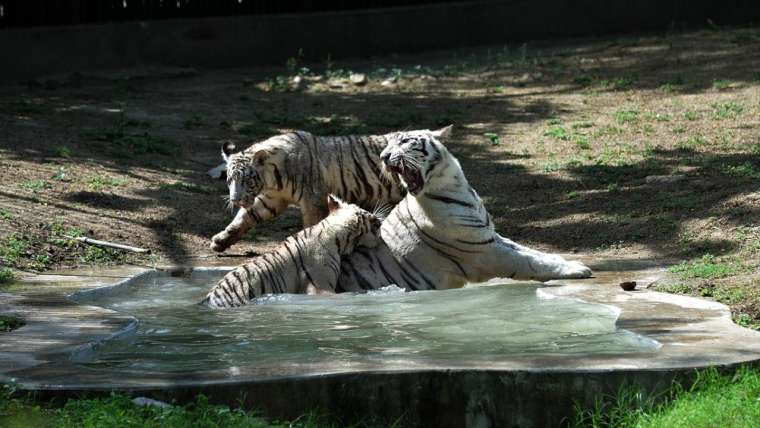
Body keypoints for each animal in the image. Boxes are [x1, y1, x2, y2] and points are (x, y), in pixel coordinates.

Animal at [211, 129, 406, 252]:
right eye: (230, 180)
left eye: (246, 180)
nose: (235, 200)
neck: (271, 180)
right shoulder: (271, 199)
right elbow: (245, 217)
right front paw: (221, 240)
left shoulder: (313, 200)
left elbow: (313, 224)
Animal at [338, 123, 592, 290]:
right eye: (388, 145)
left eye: (404, 141)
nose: (383, 156)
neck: (456, 186)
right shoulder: (484, 252)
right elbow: (529, 261)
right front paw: (577, 269)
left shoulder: (489, 237)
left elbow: (531, 251)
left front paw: (565, 261)